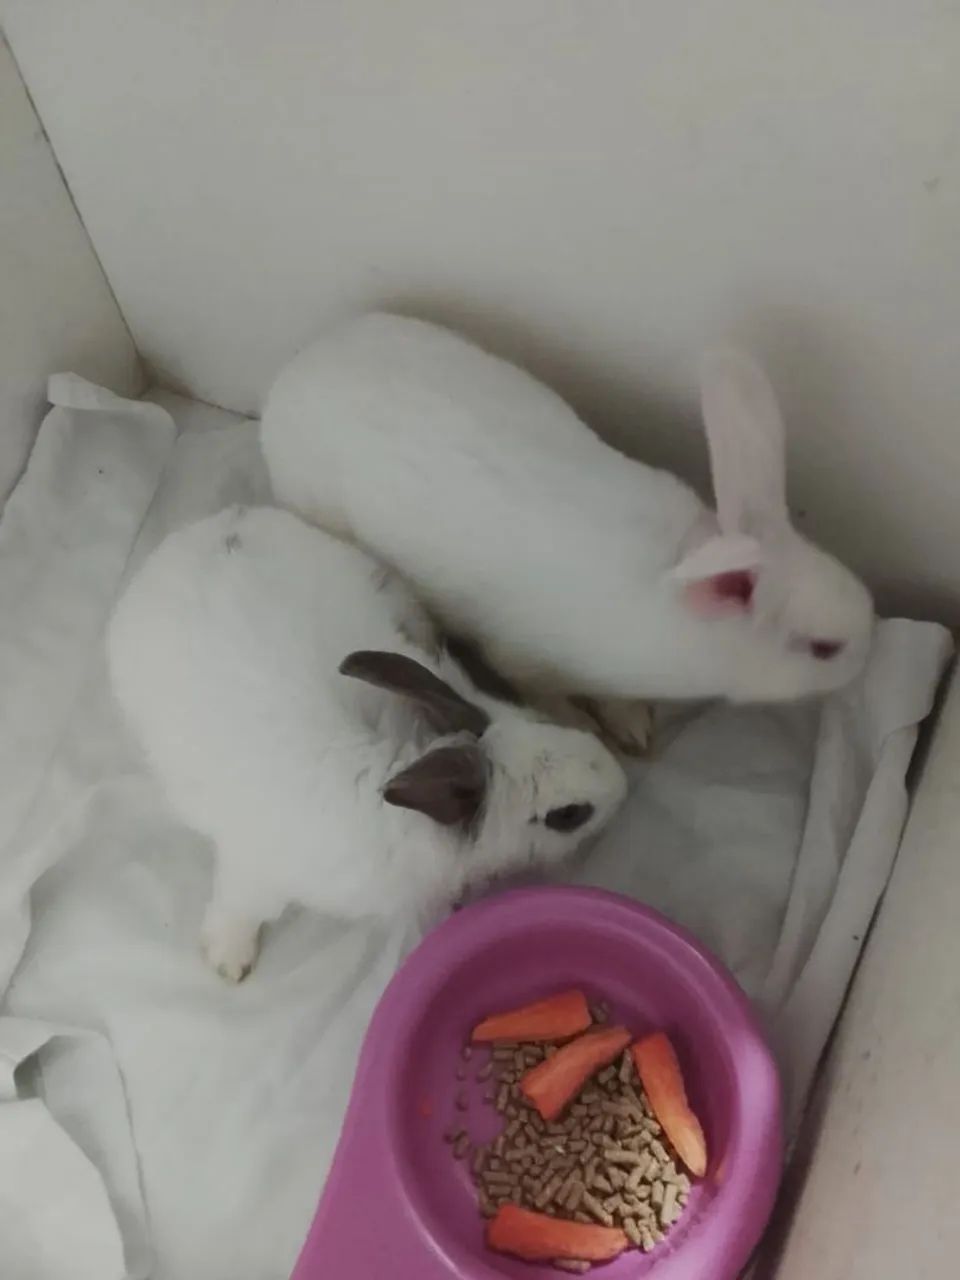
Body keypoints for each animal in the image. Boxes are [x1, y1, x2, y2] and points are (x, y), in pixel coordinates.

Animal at [106, 505, 627, 981]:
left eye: (539, 718)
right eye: (568, 815)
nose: (623, 785)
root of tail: (199, 533)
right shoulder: (253, 872)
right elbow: (239, 909)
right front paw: (228, 963)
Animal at [260, 313, 875, 753]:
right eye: (824, 649)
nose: (869, 649)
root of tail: (293, 370)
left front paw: (633, 723)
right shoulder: (524, 660)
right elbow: (547, 694)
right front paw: (595, 727)